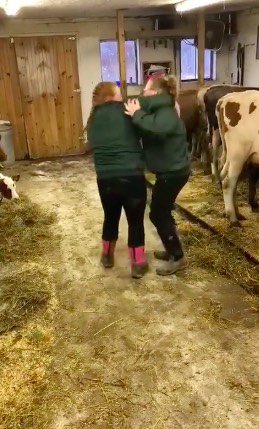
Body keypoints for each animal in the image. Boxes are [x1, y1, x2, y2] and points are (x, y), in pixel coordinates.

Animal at [216, 88, 259, 226]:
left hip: (234, 154)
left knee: (225, 175)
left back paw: (237, 213)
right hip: (238, 153)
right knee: (228, 183)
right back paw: (233, 218)